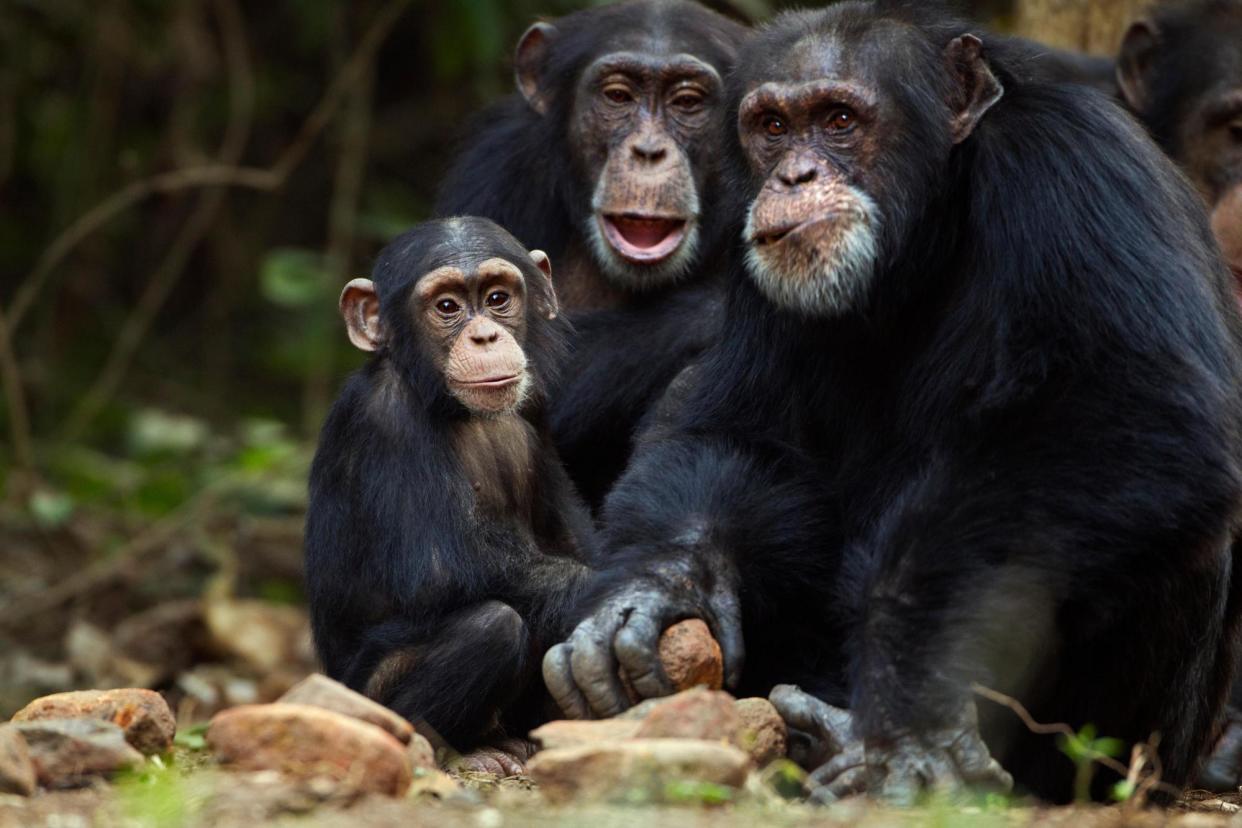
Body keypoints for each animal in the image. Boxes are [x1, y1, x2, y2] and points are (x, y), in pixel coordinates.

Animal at [304, 217, 596, 774]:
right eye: (446, 307)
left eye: (498, 298)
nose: (484, 334)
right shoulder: (385, 420)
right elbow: (438, 569)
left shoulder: (536, 406)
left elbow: (568, 534)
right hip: (363, 699)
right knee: (491, 626)